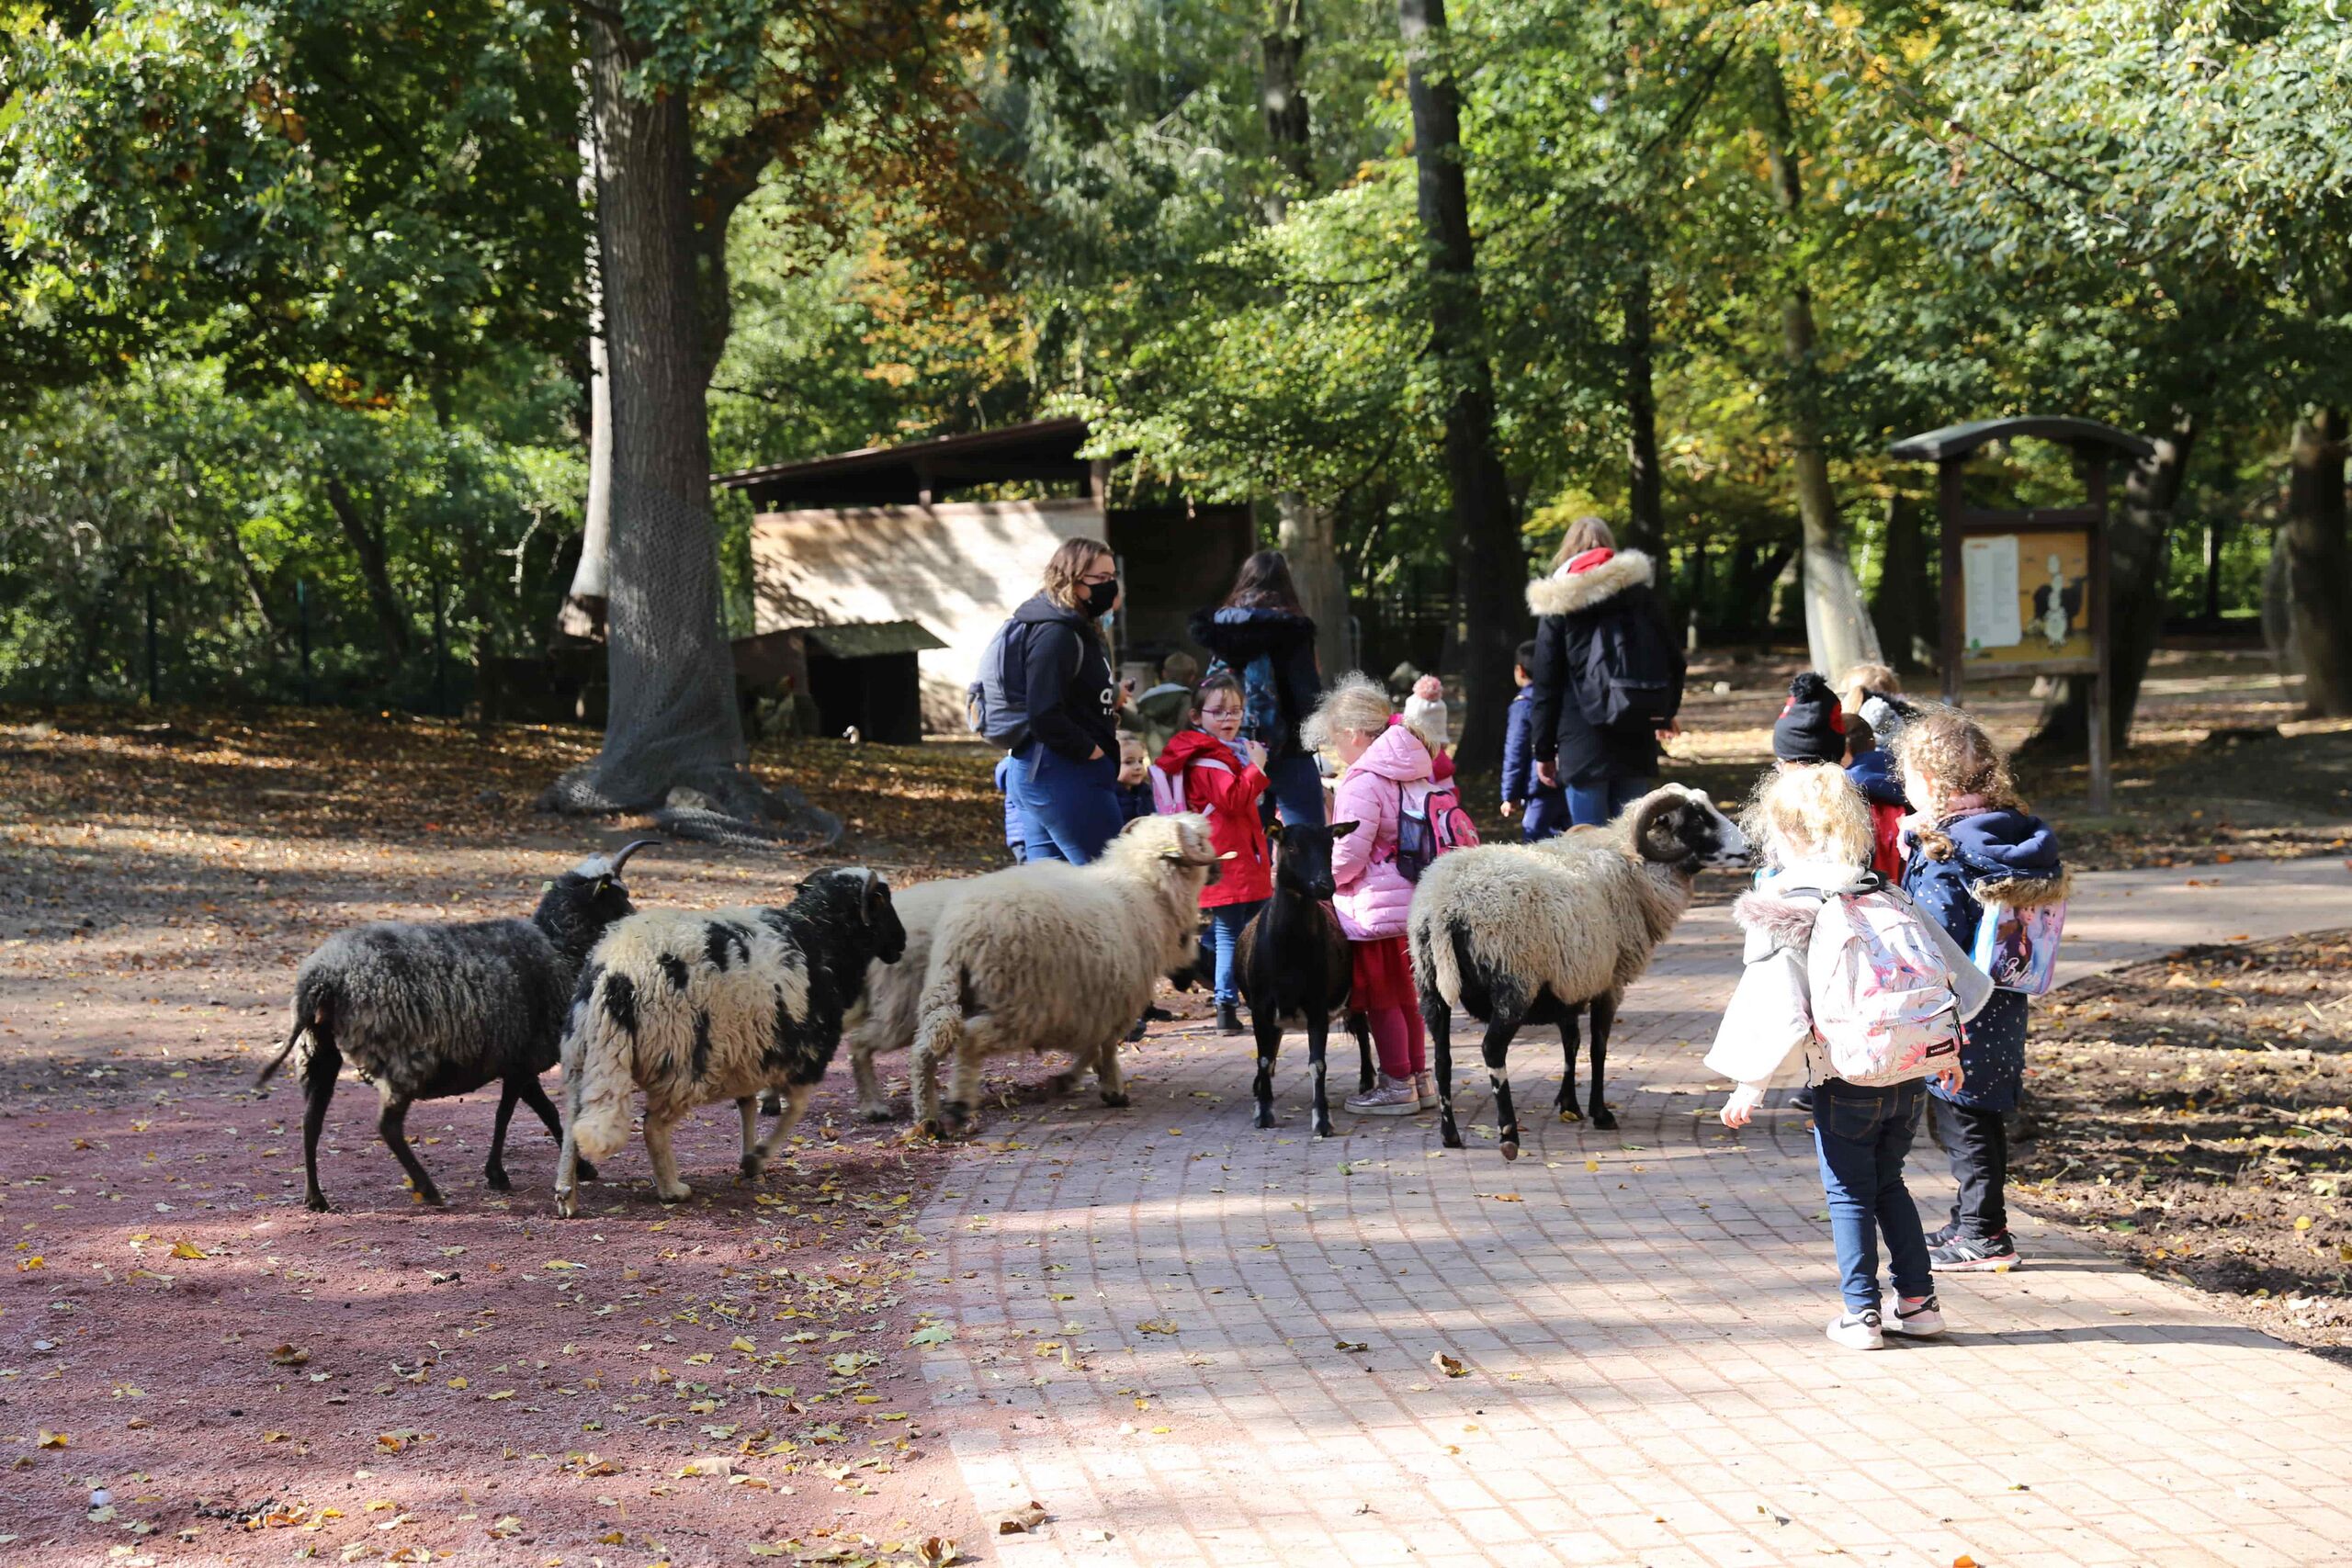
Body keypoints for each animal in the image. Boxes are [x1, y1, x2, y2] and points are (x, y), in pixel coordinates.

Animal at [256, 841, 656, 1211]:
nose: (640, 925)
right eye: (620, 896)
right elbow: (518, 1113)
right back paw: (428, 1190)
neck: (559, 948)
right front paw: (508, 1173)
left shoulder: (515, 1062)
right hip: (401, 1056)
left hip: (317, 1050)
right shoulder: (523, 1060)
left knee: (310, 1122)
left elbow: (529, 1111)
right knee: (387, 1125)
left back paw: (315, 1197)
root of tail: (321, 978)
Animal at [554, 868, 906, 1217]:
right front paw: (759, 1155)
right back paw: (672, 1190)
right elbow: (795, 1108)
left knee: (573, 1120)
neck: (822, 935)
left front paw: (749, 1157)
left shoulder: (748, 1047)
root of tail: (615, 971)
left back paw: (566, 1195)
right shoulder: (808, 1051)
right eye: (881, 899)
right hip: (682, 1059)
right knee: (652, 1126)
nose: (901, 942)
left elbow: (747, 1104)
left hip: (583, 1053)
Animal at [908, 813, 1221, 1137]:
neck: (1146, 888)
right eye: (1200, 842)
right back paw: (957, 1107)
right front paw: (1112, 1088)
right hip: (1019, 1007)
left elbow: (1093, 1047)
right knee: (969, 1040)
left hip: (945, 990)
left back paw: (928, 1118)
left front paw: (1072, 1079)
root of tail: (964, 932)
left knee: (925, 1049)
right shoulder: (1113, 1004)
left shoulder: (1091, 1005)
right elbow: (1106, 1047)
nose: (1218, 869)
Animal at [1237, 819, 1372, 1138]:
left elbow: (1318, 1064)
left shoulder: (1317, 1004)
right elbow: (1263, 1058)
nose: (1325, 885)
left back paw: (1367, 1081)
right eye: (1291, 846)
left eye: (1330, 845)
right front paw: (1263, 1113)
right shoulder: (1260, 1005)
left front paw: (1322, 1120)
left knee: (1362, 1030)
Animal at [1408, 786, 1748, 1160]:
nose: (1748, 848)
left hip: (1429, 986)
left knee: (1442, 1059)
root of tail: (1445, 906)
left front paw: (1569, 1105)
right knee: (1492, 1051)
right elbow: (1598, 1047)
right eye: (1697, 820)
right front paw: (1600, 1113)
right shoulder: (1609, 983)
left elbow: (1571, 1042)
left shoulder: (1569, 981)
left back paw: (1450, 1135)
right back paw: (1509, 1136)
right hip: (1514, 982)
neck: (1632, 866)